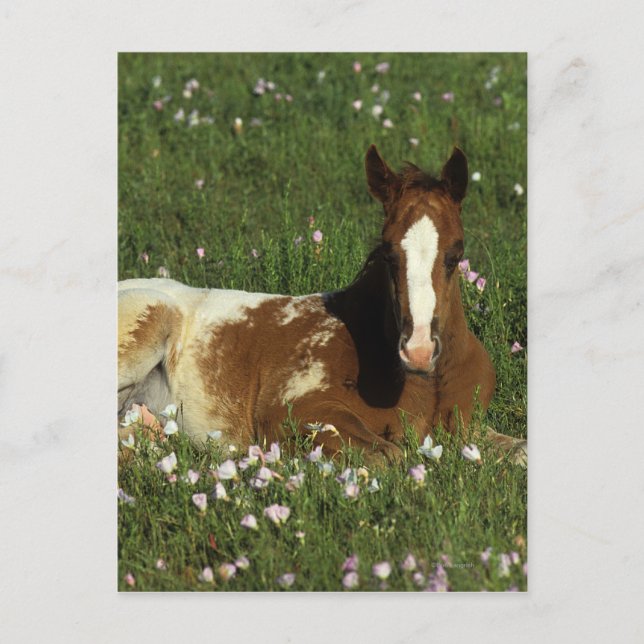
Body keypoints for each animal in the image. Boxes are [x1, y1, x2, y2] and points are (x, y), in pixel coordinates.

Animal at [118, 145, 527, 466]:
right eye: (388, 252)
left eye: (456, 253)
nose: (419, 350)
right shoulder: (289, 410)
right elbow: (389, 456)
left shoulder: (470, 428)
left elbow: (520, 451)